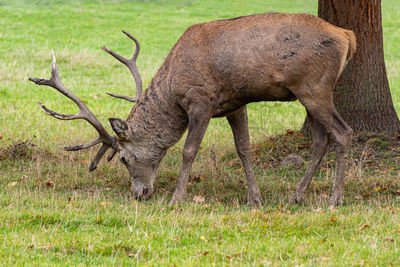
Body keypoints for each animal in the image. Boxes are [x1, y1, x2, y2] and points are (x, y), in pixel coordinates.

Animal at [30, 12, 356, 208]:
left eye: (122, 158)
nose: (139, 194)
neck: (173, 87)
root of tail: (348, 37)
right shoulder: (235, 102)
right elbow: (244, 148)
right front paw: (255, 198)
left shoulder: (201, 98)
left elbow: (189, 149)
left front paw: (177, 198)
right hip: (308, 93)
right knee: (320, 139)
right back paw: (297, 195)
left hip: (314, 87)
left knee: (342, 132)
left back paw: (335, 199)